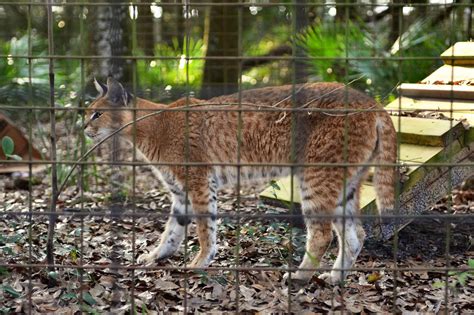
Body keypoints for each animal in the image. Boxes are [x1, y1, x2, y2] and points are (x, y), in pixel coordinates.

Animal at [84, 78, 396, 286]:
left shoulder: (199, 182)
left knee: (323, 233)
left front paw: (199, 262)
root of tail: (369, 100)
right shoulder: (181, 190)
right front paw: (155, 256)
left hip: (316, 176)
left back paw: (299, 277)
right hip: (345, 181)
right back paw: (334, 277)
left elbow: (204, 228)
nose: (83, 127)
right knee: (356, 234)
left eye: (97, 113)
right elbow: (173, 230)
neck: (145, 129)